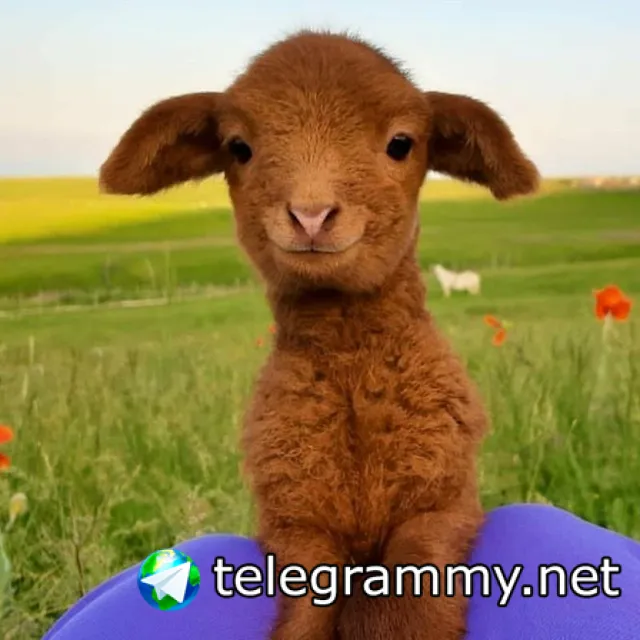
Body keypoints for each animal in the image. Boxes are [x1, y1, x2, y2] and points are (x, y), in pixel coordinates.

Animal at [98, 30, 540, 640]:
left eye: (401, 143)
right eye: (238, 147)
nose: (310, 215)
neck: (353, 373)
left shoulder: (441, 504)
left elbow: (409, 603)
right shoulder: (295, 525)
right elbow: (306, 613)